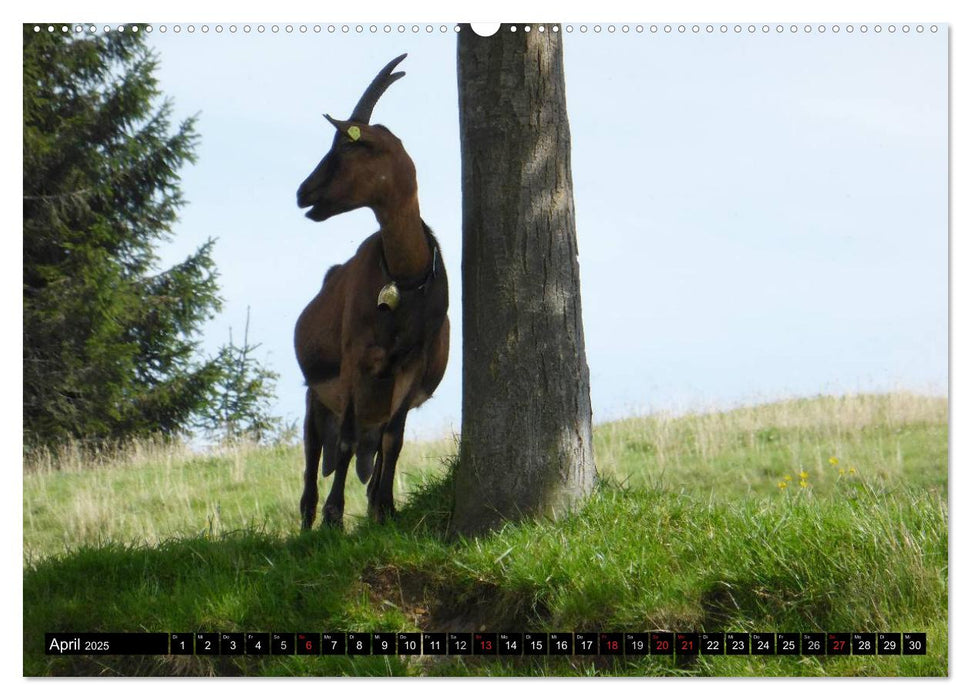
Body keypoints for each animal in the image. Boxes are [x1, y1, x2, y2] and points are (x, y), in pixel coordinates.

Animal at [294, 53, 450, 532]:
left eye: (345, 147)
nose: (303, 192)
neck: (406, 277)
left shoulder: (411, 368)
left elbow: (393, 441)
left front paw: (384, 510)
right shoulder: (355, 361)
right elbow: (344, 442)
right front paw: (334, 517)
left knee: (372, 443)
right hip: (316, 395)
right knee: (314, 450)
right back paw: (308, 519)